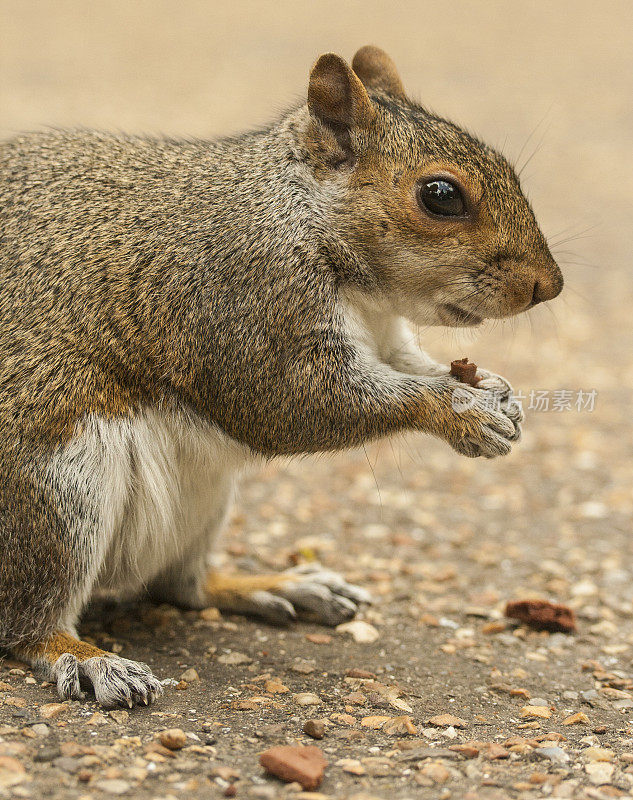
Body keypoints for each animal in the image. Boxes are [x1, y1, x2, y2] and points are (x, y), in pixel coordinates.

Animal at [0, 47, 564, 708]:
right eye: (441, 195)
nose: (549, 286)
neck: (301, 213)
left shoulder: (386, 335)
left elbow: (409, 365)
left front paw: (496, 392)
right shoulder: (247, 304)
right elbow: (301, 402)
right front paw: (462, 412)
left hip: (199, 500)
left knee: (182, 587)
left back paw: (274, 584)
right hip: (57, 493)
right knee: (29, 624)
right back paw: (85, 658)